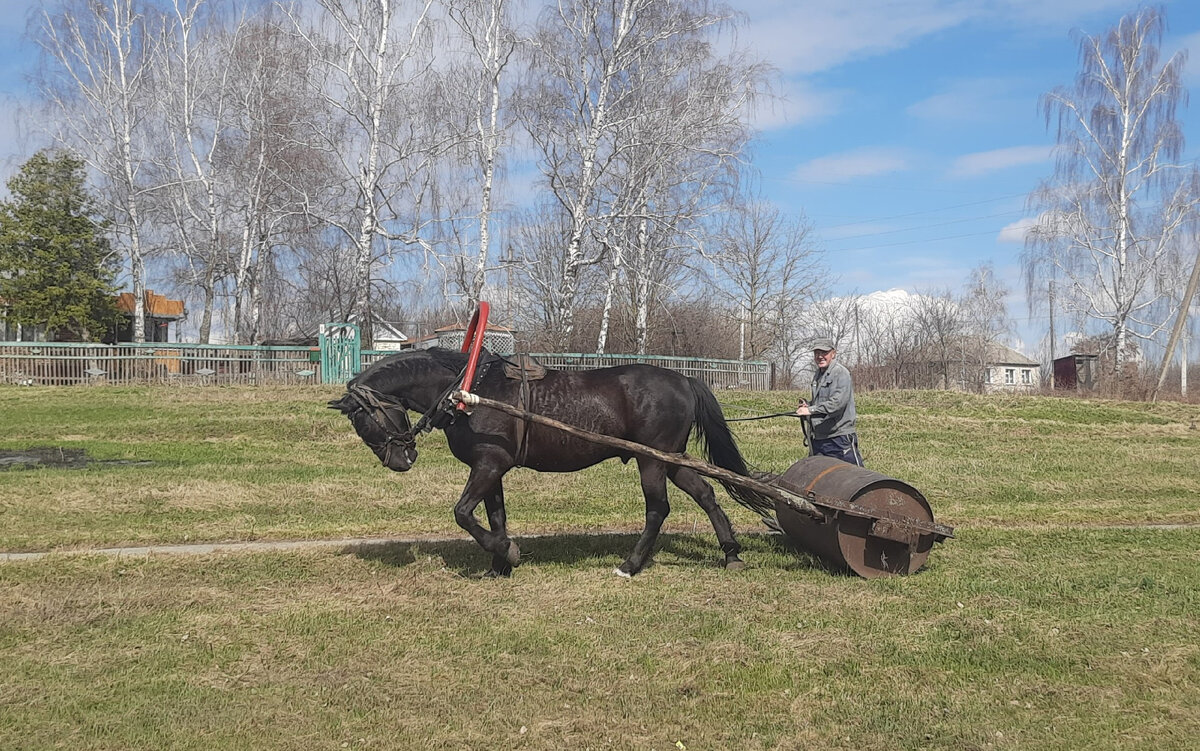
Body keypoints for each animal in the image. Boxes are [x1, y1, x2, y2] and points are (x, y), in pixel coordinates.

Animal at [331, 347, 777, 575]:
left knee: (658, 509)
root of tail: (684, 378)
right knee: (706, 494)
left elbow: (462, 513)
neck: (469, 390)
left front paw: (508, 553)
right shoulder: (491, 468)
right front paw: (499, 564)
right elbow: (494, 517)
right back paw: (731, 554)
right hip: (672, 458)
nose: (399, 459)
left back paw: (630, 565)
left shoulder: (489, 464)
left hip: (651, 460)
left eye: (363, 421)